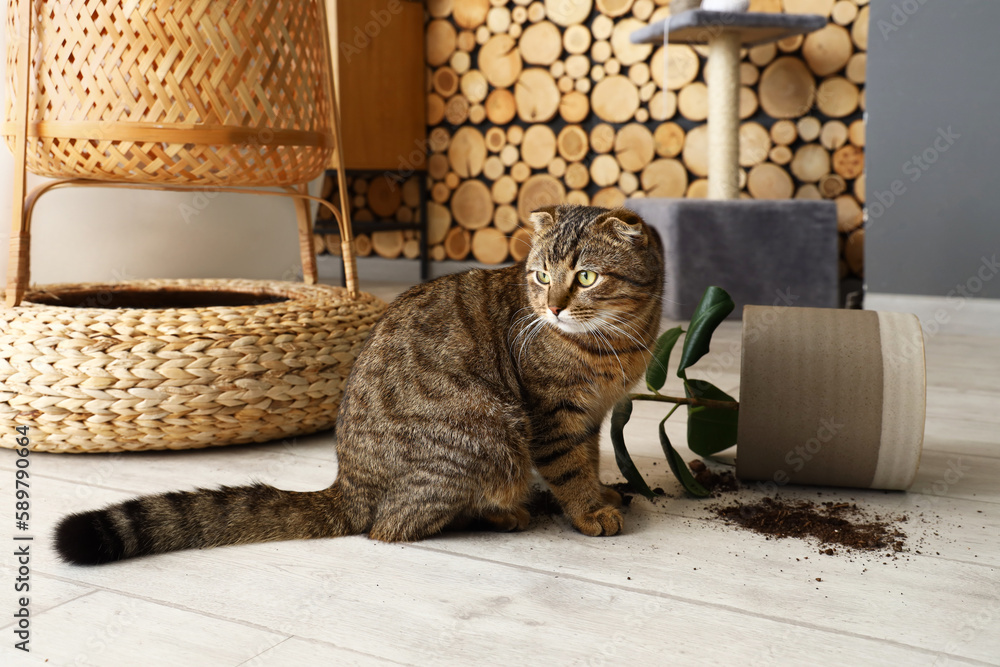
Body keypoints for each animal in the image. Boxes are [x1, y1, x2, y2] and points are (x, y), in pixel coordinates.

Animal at [54, 204, 664, 564]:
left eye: (586, 276)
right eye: (540, 275)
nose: (553, 307)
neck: (620, 340)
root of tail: (349, 484)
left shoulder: (593, 415)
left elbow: (589, 461)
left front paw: (603, 491)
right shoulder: (553, 415)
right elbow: (570, 469)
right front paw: (589, 510)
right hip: (492, 433)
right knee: (394, 527)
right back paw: (509, 512)